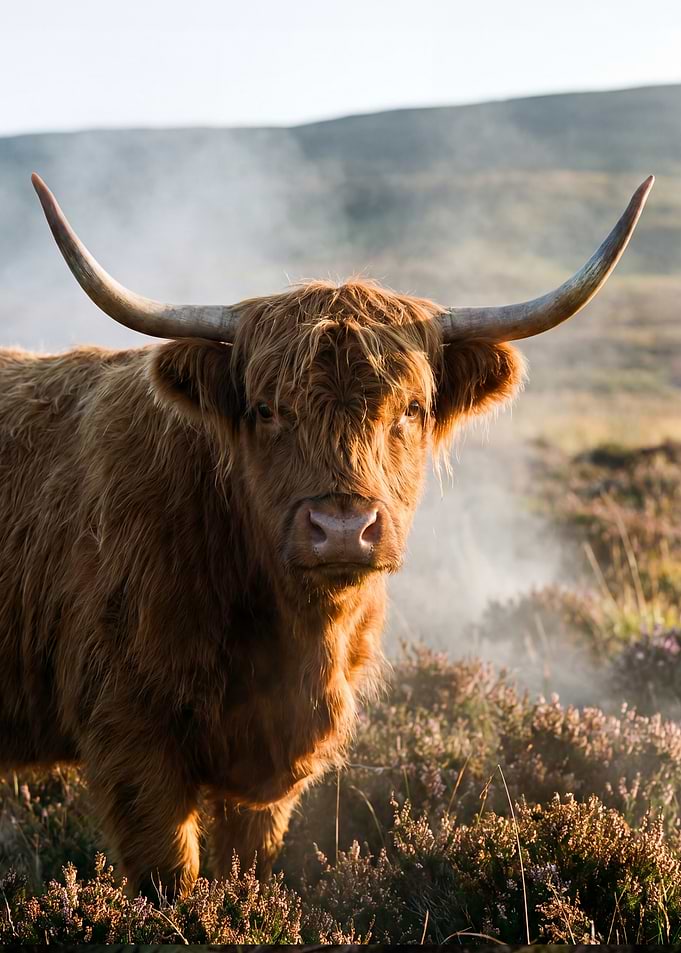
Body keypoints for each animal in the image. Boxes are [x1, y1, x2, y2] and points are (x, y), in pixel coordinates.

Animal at [0, 173, 653, 899]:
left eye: (412, 408)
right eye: (265, 409)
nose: (342, 529)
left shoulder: (268, 776)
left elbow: (245, 871)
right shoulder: (131, 736)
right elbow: (170, 877)